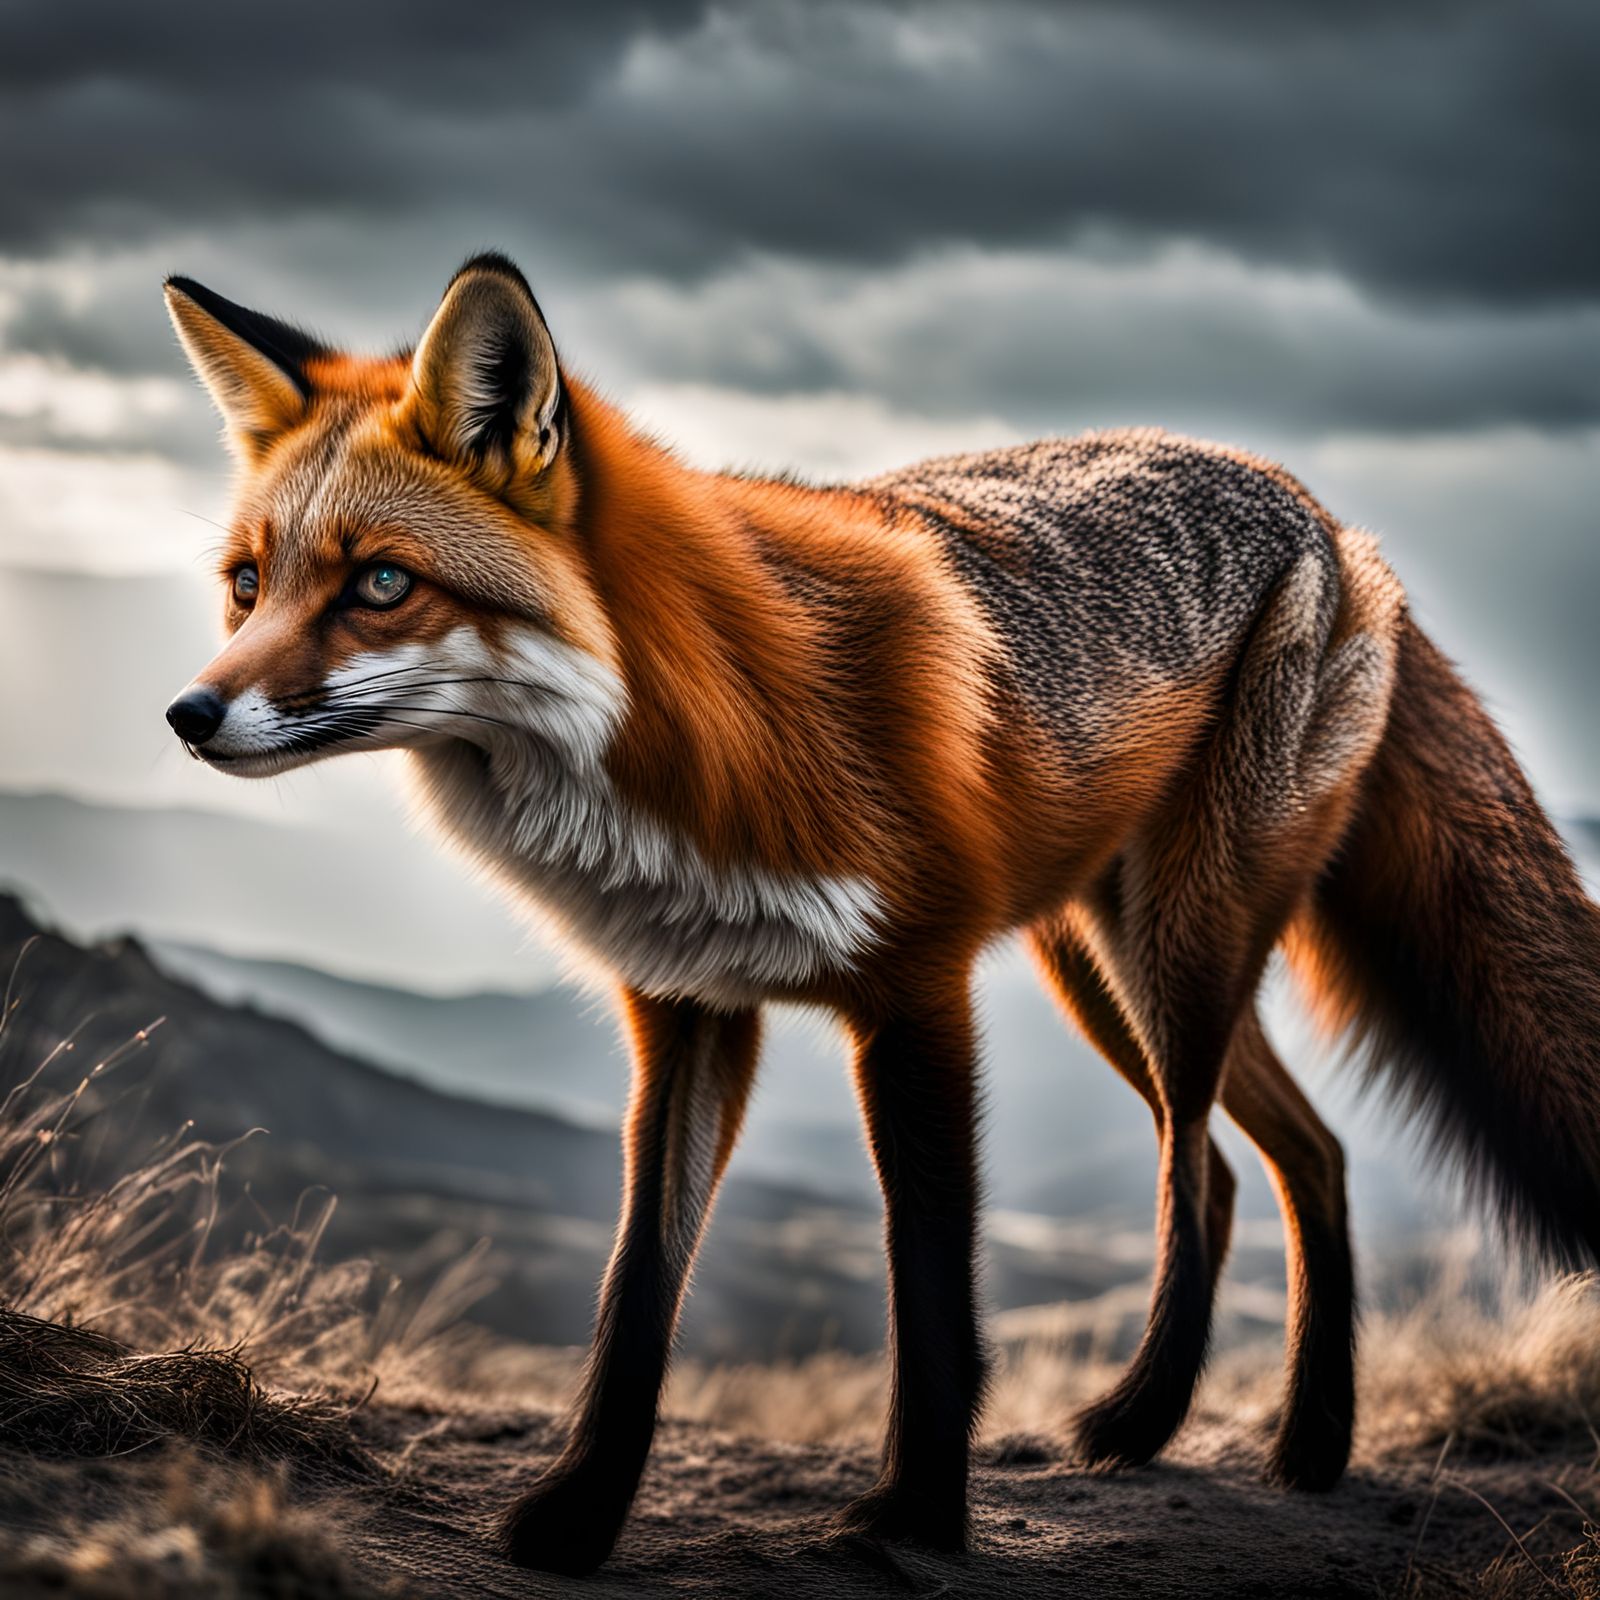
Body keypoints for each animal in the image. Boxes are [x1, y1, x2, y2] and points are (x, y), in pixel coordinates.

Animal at [160, 253, 1600, 1576]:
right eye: (246, 585)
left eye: (380, 585)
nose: (190, 714)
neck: (684, 731)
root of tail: (1322, 511)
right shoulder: (687, 1010)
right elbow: (636, 1292)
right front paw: (579, 1516)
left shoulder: (918, 991)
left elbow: (932, 1286)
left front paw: (915, 1519)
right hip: (1100, 967)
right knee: (1299, 1156)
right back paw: (1309, 1443)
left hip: (1178, 950)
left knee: (1198, 1165)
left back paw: (1147, 1418)